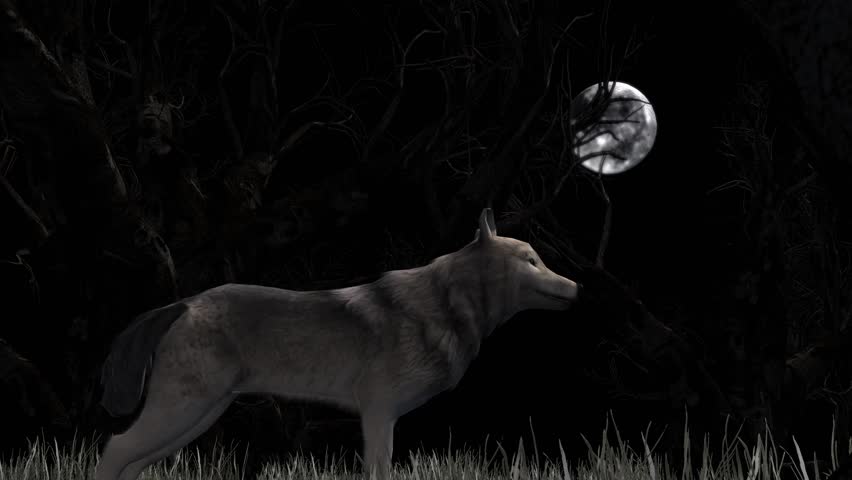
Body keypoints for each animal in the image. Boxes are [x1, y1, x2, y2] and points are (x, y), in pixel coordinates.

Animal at [95, 208, 582, 480]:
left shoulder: (381, 417)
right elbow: (379, 472)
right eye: (532, 261)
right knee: (114, 448)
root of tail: (182, 303)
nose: (576, 287)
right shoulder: (379, 414)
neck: (447, 306)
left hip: (197, 416)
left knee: (132, 462)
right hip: (183, 412)